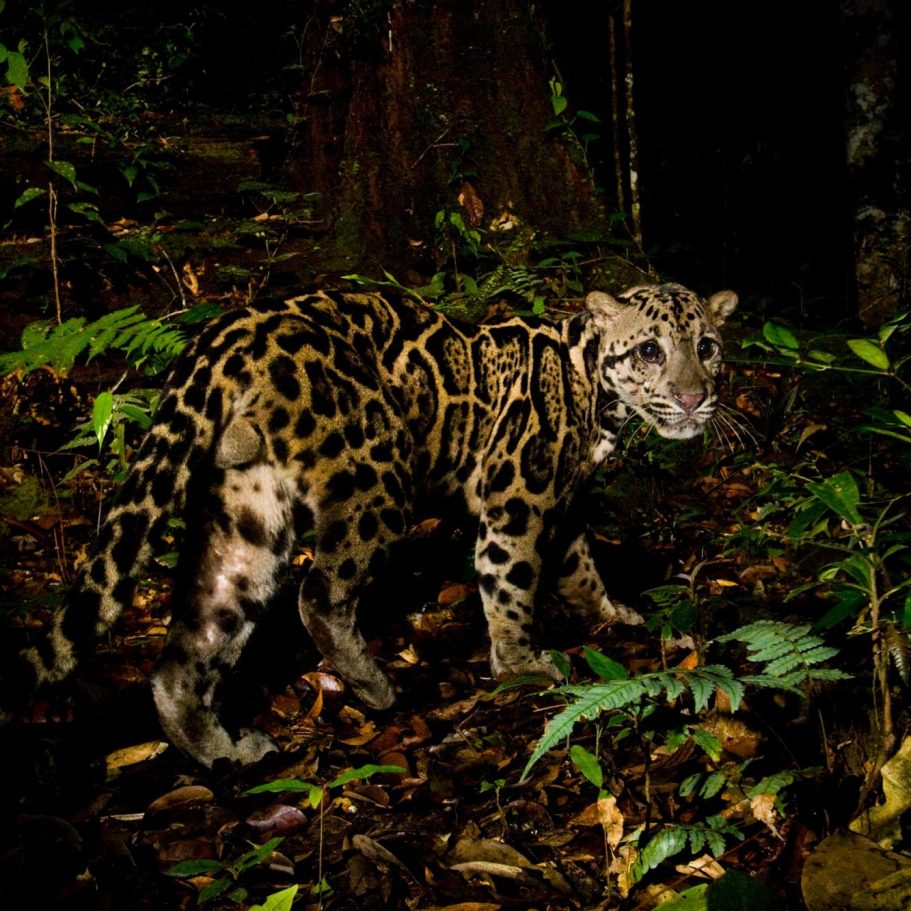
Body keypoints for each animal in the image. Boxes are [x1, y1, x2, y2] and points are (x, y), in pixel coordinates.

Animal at [10, 282, 737, 766]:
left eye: (707, 348)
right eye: (649, 351)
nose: (692, 397)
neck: (595, 395)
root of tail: (232, 330)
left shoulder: (563, 500)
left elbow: (581, 567)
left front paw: (615, 616)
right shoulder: (519, 494)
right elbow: (511, 581)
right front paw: (521, 665)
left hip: (246, 510)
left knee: (194, 643)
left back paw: (225, 749)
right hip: (378, 476)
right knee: (318, 594)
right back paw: (375, 685)